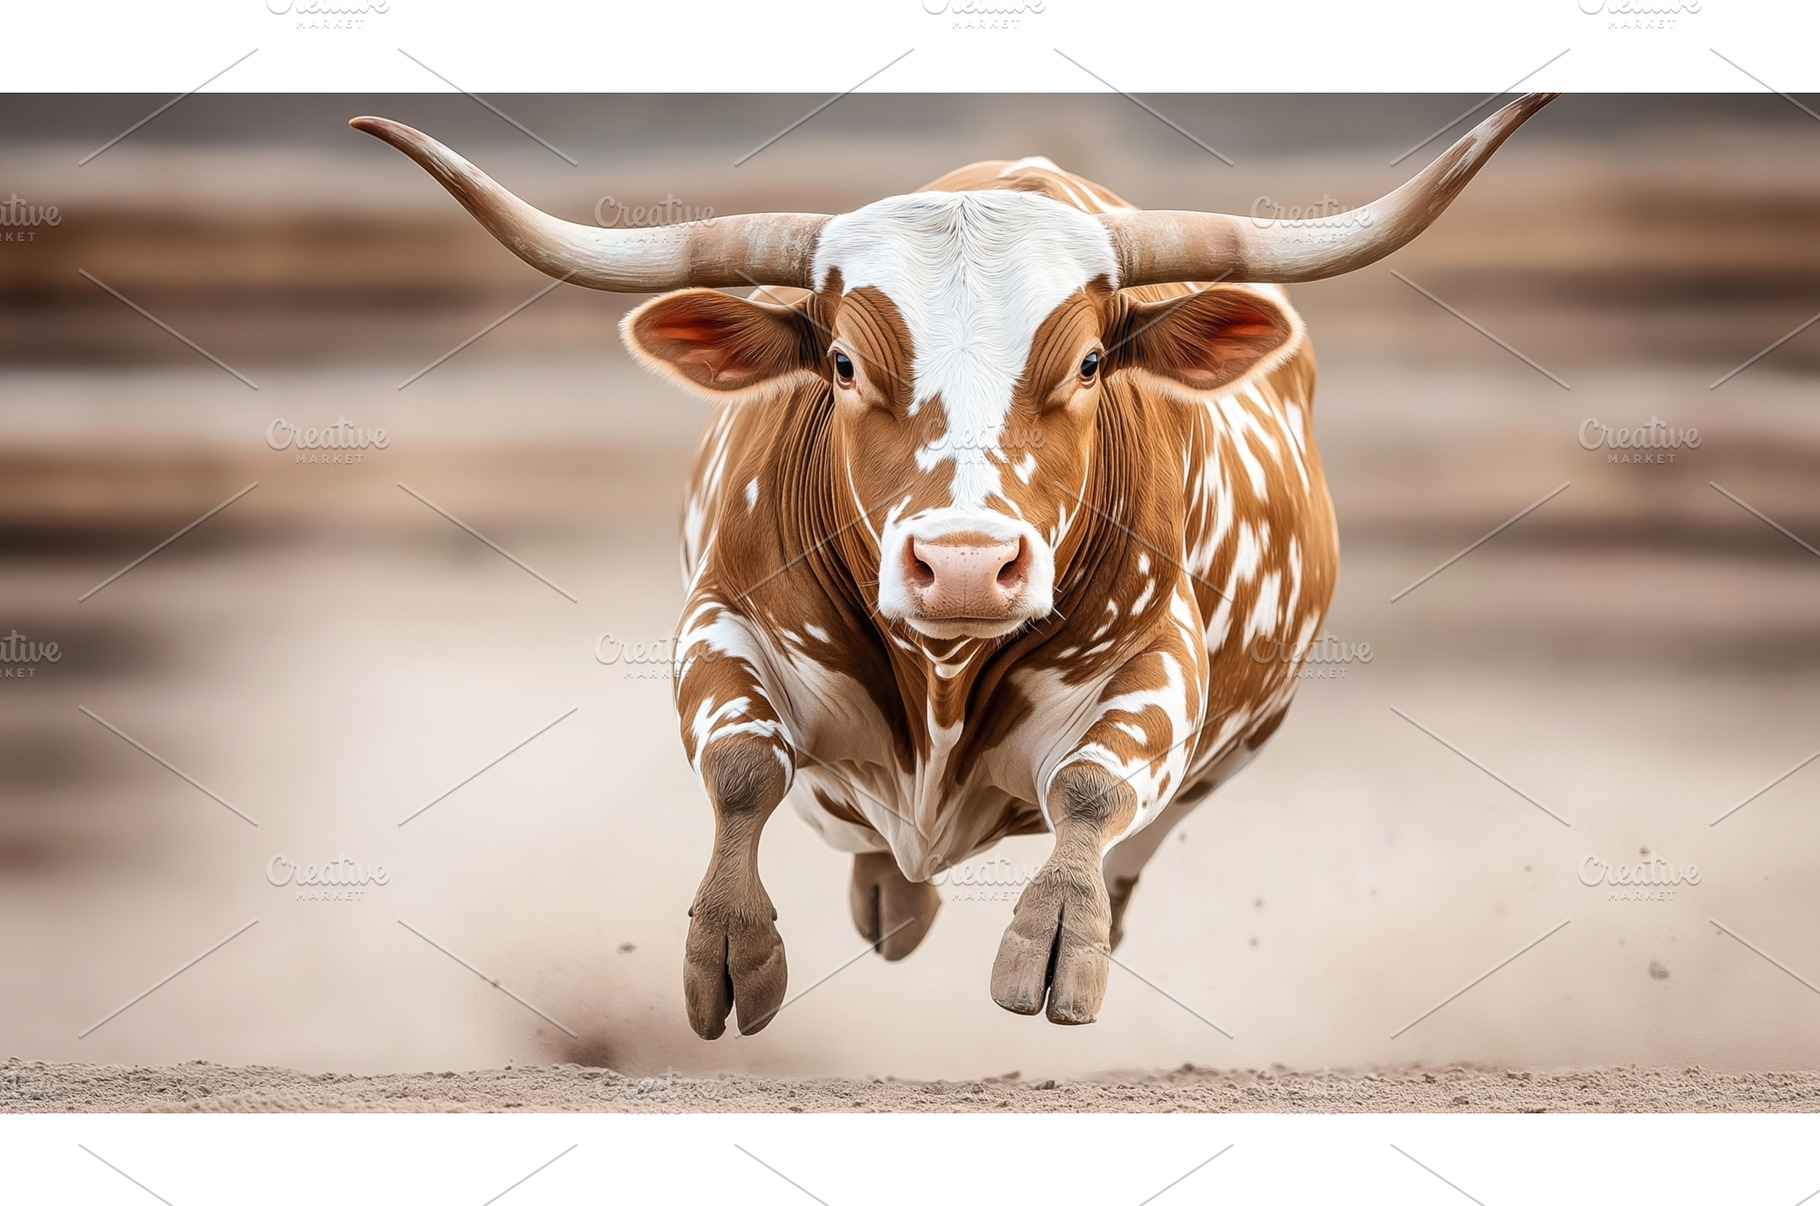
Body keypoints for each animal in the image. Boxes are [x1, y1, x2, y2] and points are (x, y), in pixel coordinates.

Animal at [353, 93, 1555, 1038]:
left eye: (1088, 362)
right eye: (842, 364)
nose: (968, 566)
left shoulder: (1161, 662)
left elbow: (1093, 785)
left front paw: (1057, 938)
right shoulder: (720, 619)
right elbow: (741, 768)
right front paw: (730, 948)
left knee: (1135, 833)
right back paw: (893, 895)